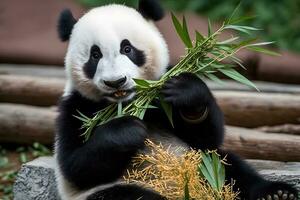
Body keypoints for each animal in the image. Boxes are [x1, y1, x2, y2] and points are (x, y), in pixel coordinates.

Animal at [54, 0, 298, 199]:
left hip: (203, 163)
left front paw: (186, 91)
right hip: (116, 189)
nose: (116, 82)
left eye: (127, 48)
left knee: (231, 168)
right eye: (95, 55)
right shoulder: (77, 107)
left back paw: (276, 193)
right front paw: (127, 130)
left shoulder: (161, 99)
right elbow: (75, 167)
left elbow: (209, 135)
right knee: (131, 196)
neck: (127, 103)